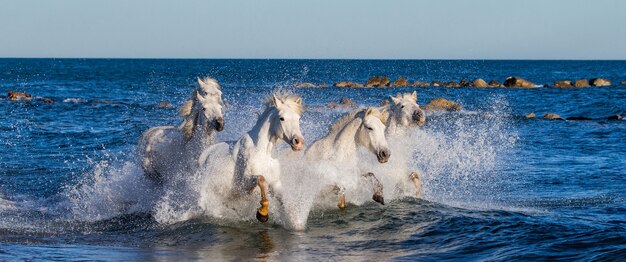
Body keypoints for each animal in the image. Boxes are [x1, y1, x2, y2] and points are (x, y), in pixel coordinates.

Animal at [199, 92, 304, 223]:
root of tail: (204, 155)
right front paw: (263, 213)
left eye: (298, 118)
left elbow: (285, 202)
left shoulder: (275, 183)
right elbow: (261, 180)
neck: (263, 152)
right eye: (282, 118)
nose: (298, 142)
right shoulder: (243, 185)